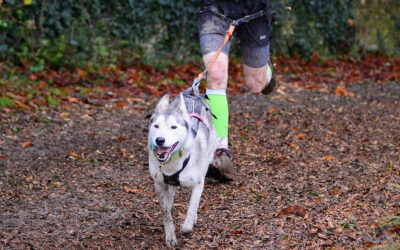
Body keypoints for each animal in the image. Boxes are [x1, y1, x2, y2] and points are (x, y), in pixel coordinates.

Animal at [148, 89, 217, 247]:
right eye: (156, 126)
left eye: (173, 127)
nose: (159, 140)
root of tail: (193, 96)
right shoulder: (159, 184)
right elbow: (165, 212)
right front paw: (170, 235)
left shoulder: (198, 184)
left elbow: (191, 210)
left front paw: (187, 226)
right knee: (171, 195)